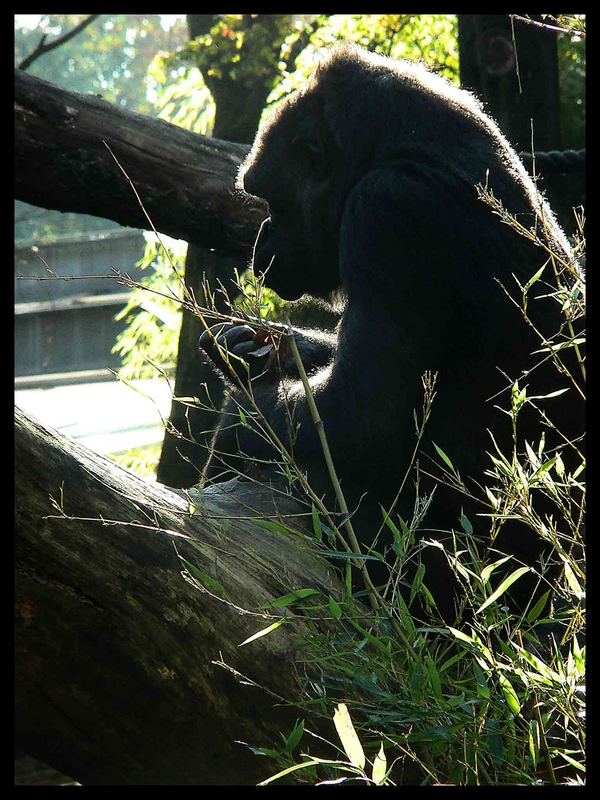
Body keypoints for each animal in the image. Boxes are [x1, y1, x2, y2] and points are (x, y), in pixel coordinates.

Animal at [199, 42, 584, 620]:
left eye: (268, 199)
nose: (260, 242)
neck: (387, 148)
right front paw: (262, 350)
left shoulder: (383, 217)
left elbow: (360, 420)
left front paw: (240, 410)